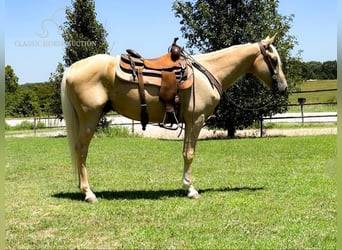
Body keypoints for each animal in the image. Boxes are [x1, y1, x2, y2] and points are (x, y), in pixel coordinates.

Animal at [60, 35, 286, 203]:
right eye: (274, 60)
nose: (283, 88)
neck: (206, 73)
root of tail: (72, 69)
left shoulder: (189, 121)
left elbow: (185, 153)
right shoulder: (196, 120)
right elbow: (190, 154)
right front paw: (191, 189)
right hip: (89, 118)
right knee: (81, 150)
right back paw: (89, 193)